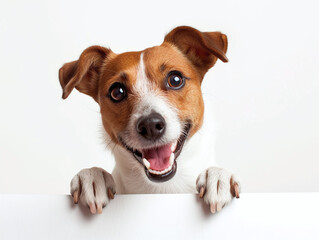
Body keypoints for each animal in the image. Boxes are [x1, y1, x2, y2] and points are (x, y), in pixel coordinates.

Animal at [58, 25, 241, 214]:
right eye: (117, 92)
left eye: (175, 79)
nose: (150, 125)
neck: (162, 189)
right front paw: (92, 176)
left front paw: (217, 176)